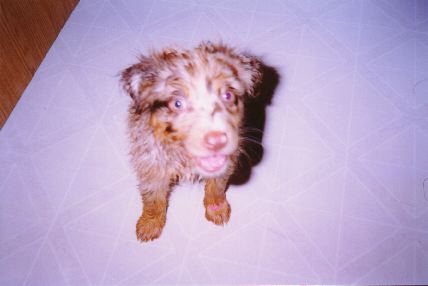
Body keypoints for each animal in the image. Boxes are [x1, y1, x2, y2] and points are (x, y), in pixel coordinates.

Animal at [120, 42, 260, 241]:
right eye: (177, 103)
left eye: (228, 96)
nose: (216, 140)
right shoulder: (151, 167)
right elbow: (152, 199)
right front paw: (150, 222)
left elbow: (216, 188)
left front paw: (216, 208)